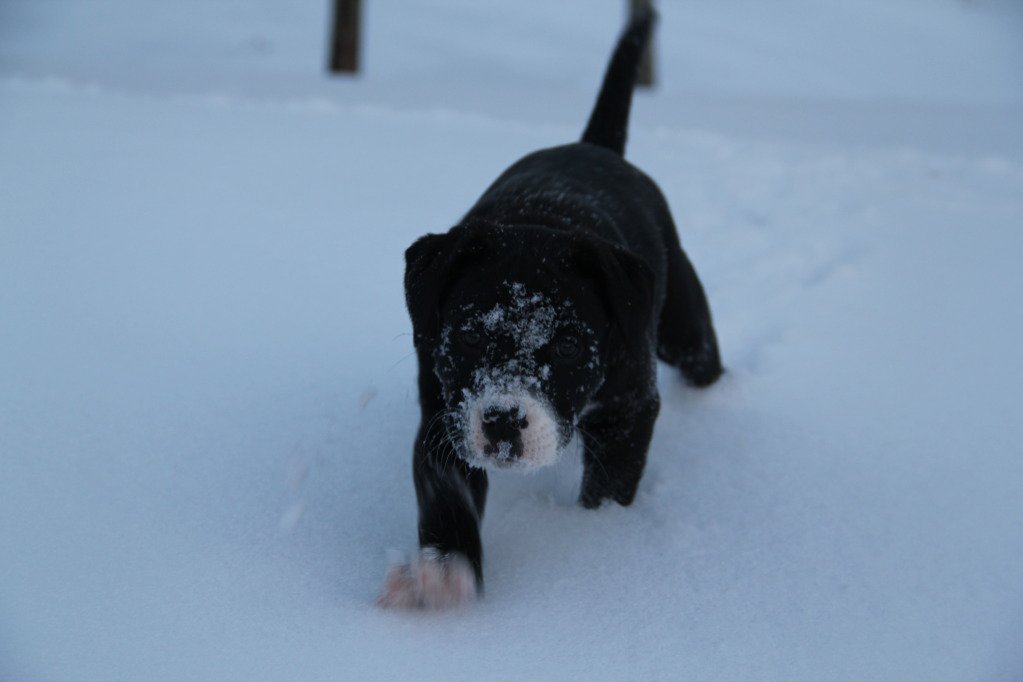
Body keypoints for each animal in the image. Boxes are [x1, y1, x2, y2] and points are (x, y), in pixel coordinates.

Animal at [380, 9, 724, 609]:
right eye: (469, 336)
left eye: (567, 345)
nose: (502, 419)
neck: (539, 222)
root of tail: (593, 146)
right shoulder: (446, 412)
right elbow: (446, 494)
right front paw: (443, 572)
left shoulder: (627, 410)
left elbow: (609, 487)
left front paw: (595, 539)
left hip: (683, 328)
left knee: (703, 357)